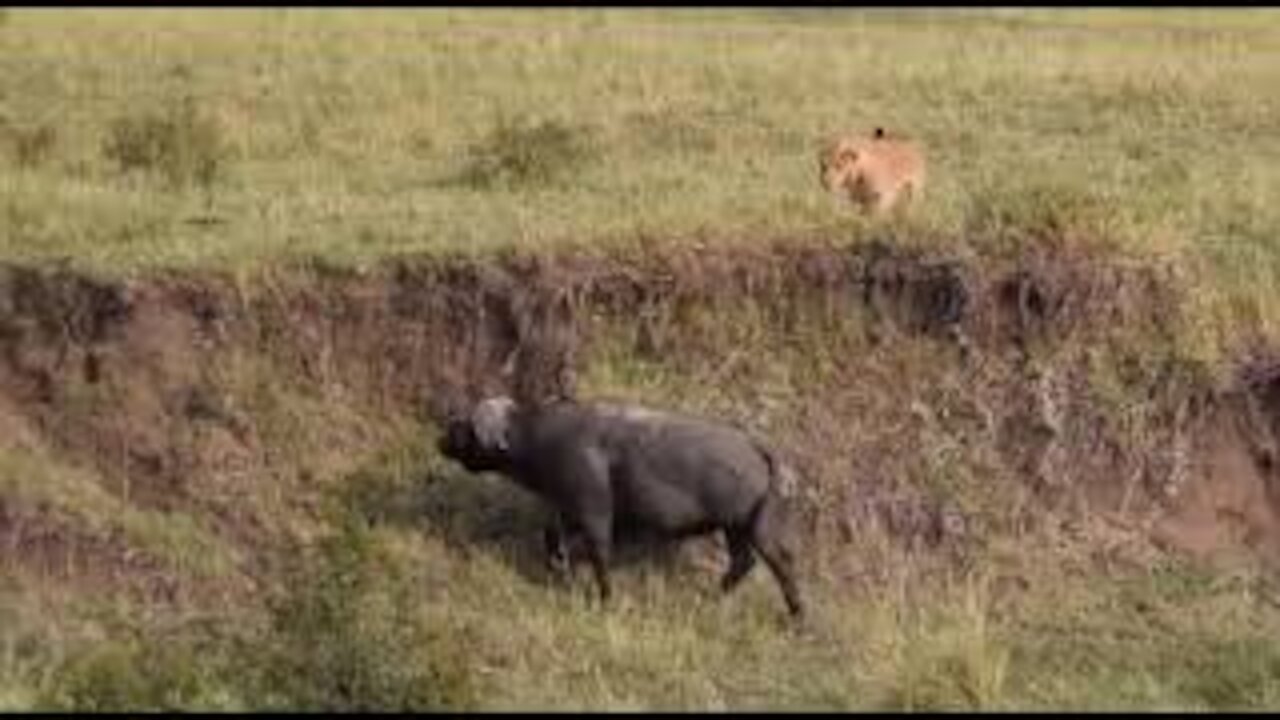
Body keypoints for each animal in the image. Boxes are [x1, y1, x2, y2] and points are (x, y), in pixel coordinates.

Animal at [437, 392, 798, 617]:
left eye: (467, 426)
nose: (442, 436)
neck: (542, 438)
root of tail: (755, 446)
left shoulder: (595, 512)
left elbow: (599, 554)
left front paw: (605, 597)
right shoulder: (565, 510)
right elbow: (552, 538)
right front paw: (558, 572)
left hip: (755, 528)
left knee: (780, 562)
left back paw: (797, 617)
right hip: (736, 528)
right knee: (743, 562)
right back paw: (714, 597)